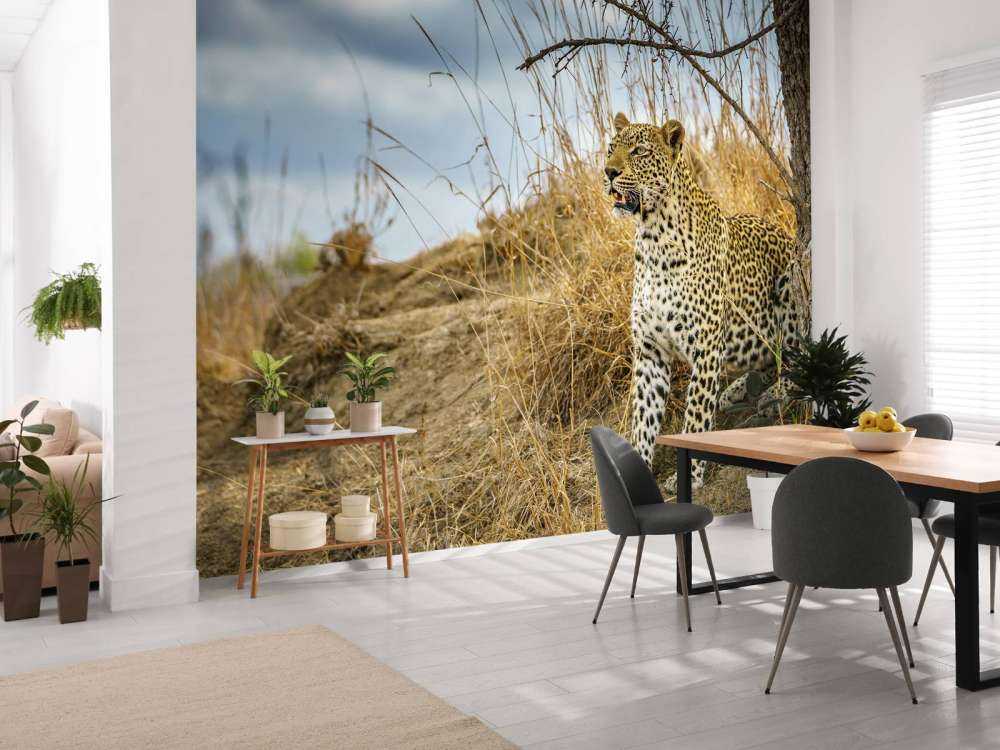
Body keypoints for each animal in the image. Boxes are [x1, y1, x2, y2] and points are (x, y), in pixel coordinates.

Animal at [605, 112, 803, 487]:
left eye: (639, 151)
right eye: (611, 148)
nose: (608, 172)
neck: (652, 238)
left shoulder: (706, 346)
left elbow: (695, 416)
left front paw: (691, 477)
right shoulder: (650, 352)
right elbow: (643, 420)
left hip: (791, 285)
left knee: (800, 358)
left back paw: (771, 393)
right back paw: (737, 389)